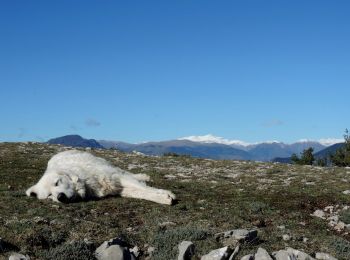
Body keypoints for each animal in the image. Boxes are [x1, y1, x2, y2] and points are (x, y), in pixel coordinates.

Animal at [25, 150, 175, 205]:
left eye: (57, 183)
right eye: (49, 196)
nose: (60, 197)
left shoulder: (116, 177)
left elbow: (144, 189)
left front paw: (166, 194)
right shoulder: (119, 188)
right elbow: (142, 193)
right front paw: (163, 198)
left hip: (110, 167)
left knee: (127, 172)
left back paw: (144, 176)